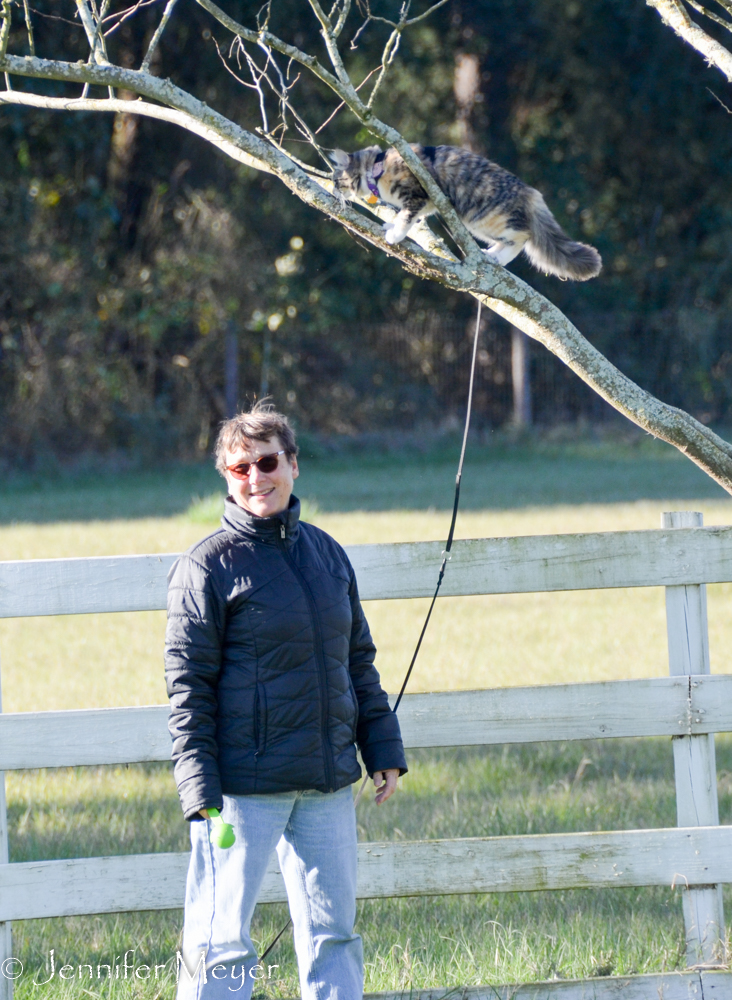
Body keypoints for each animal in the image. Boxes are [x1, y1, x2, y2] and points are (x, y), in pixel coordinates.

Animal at [332, 144, 600, 282]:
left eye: (337, 180)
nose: (334, 189)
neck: (377, 166)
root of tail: (530, 191)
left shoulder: (417, 194)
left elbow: (406, 216)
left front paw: (394, 235)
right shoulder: (427, 204)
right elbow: (411, 218)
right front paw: (391, 226)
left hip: (484, 219)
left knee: (522, 237)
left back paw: (499, 257)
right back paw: (492, 256)